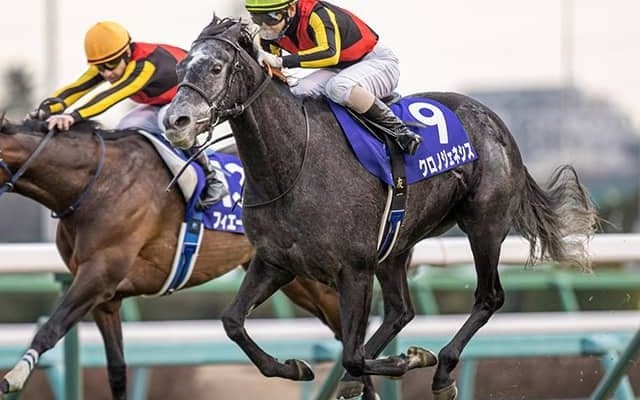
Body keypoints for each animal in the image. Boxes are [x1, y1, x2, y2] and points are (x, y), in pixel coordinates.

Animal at [0, 117, 343, 400]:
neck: (93, 185)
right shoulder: (105, 298)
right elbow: (117, 371)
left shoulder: (98, 274)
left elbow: (51, 328)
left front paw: (14, 376)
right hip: (296, 281)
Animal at [162, 17, 598, 400]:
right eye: (182, 67)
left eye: (216, 67)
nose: (175, 120)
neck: (292, 166)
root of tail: (495, 121)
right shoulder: (276, 263)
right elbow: (233, 322)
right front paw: (295, 367)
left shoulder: (353, 270)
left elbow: (354, 355)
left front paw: (410, 359)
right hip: (396, 245)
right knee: (400, 312)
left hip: (484, 225)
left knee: (488, 297)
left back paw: (441, 370)